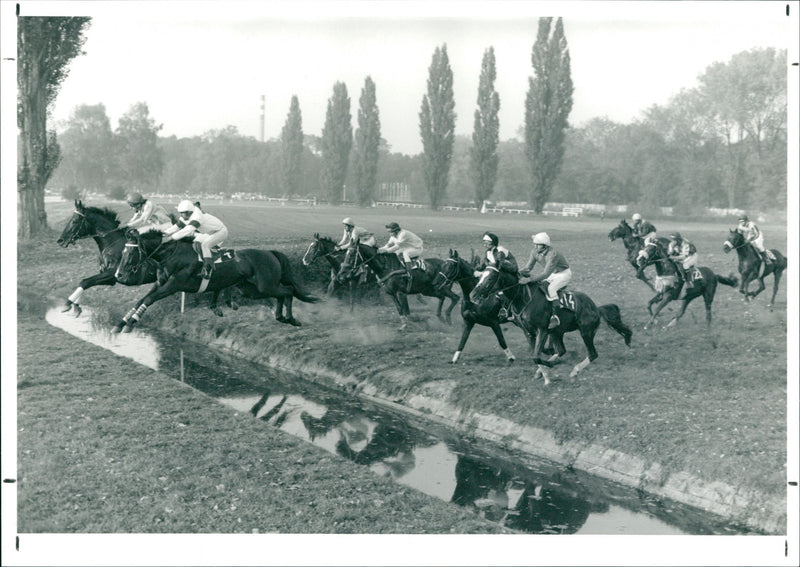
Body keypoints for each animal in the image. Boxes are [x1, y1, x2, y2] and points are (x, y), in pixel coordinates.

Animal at [468, 268, 632, 386]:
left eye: (490, 278)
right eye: (480, 276)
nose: (473, 295)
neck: (524, 298)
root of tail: (596, 308)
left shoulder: (542, 330)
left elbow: (536, 356)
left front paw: (546, 374)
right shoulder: (529, 332)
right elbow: (534, 353)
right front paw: (543, 374)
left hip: (586, 332)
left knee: (592, 354)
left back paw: (574, 371)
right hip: (557, 332)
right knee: (561, 350)